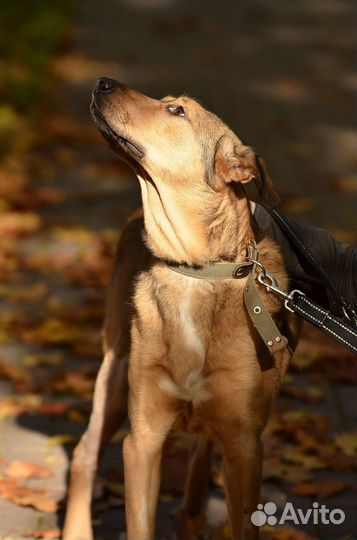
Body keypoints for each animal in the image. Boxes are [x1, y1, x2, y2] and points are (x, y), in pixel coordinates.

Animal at [62, 78, 298, 536]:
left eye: (177, 111)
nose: (102, 82)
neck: (195, 273)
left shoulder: (246, 446)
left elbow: (242, 519)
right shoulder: (143, 439)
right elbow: (140, 522)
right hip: (115, 377)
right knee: (84, 454)